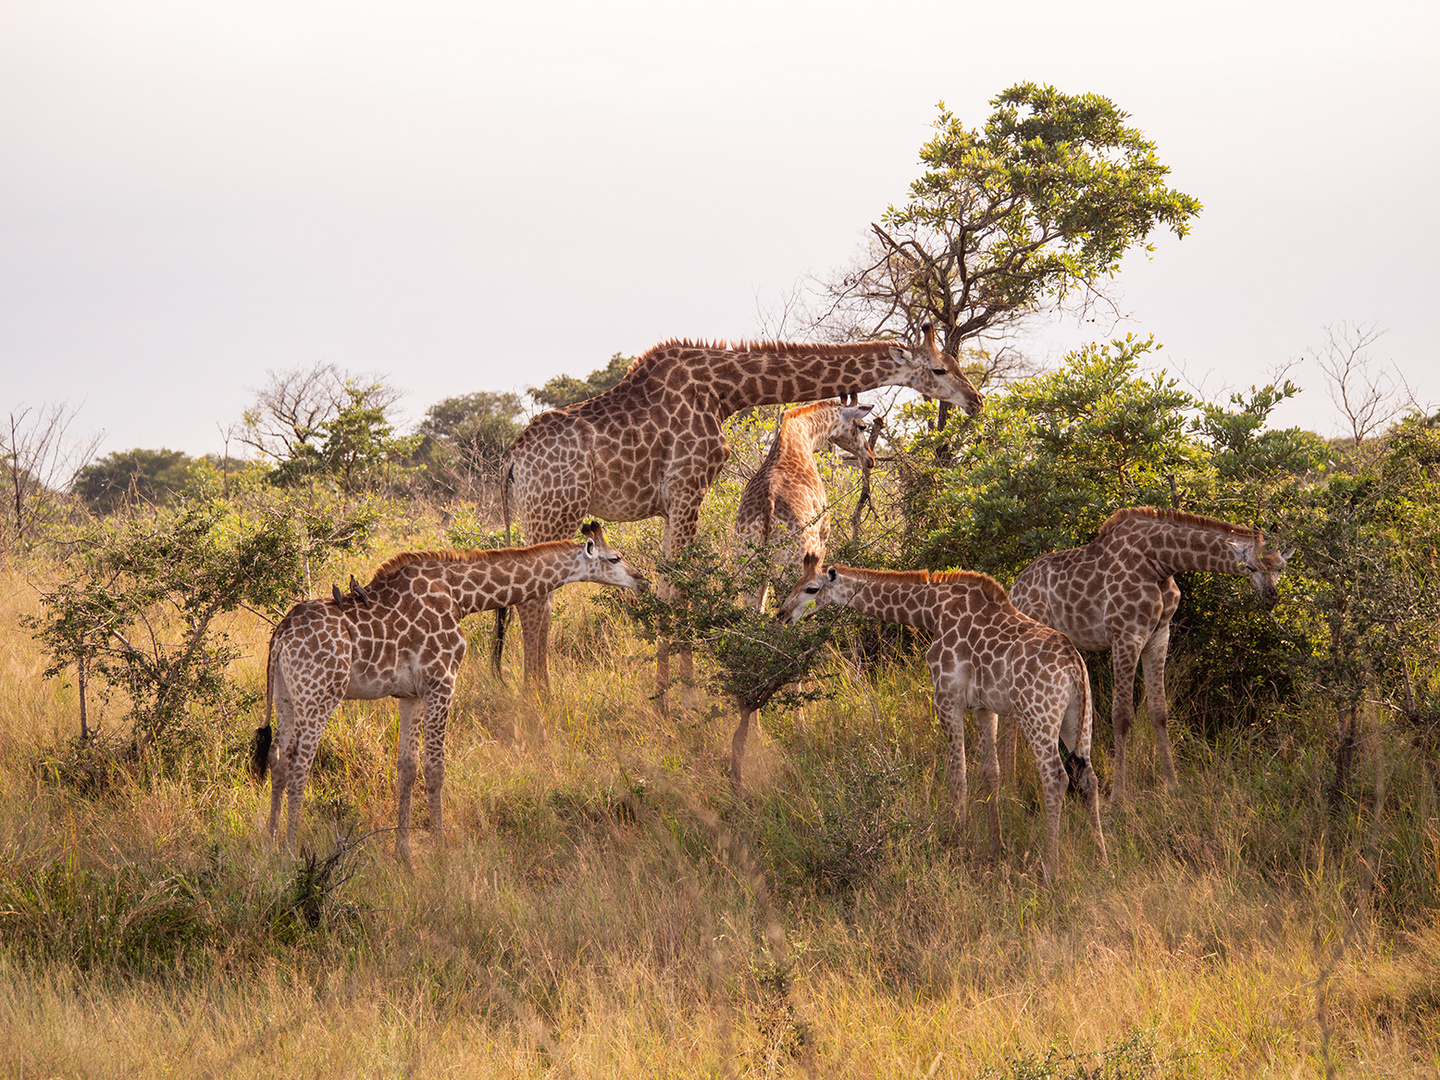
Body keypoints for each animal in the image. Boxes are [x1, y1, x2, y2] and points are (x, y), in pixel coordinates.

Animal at [254, 521, 648, 869]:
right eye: (614, 558)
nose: (642, 579)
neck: (461, 595)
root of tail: (281, 633)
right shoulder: (442, 681)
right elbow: (436, 768)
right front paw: (441, 848)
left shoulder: (411, 694)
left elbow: (407, 767)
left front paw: (404, 852)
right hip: (320, 694)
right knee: (300, 763)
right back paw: (290, 849)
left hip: (287, 696)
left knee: (277, 757)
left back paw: (271, 843)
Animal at [737, 400, 869, 616]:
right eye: (862, 426)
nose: (870, 458)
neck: (803, 436)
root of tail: (768, 510)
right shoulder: (824, 532)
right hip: (794, 563)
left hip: (747, 562)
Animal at [777, 552, 1100, 881]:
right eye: (796, 582)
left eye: (812, 589)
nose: (782, 614)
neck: (932, 612)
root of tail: (1074, 665)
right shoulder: (984, 708)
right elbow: (990, 774)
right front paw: (996, 846)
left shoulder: (947, 699)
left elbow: (958, 777)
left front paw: (957, 845)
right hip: (1078, 719)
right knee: (1089, 776)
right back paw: (1103, 859)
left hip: (1039, 716)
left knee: (1056, 778)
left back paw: (1050, 868)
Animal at [1002, 506, 1296, 806]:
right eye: (1251, 567)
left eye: (1281, 568)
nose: (1271, 598)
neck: (1161, 562)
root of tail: (1014, 589)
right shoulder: (1126, 636)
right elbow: (1121, 715)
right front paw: (1118, 796)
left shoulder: (1159, 637)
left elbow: (1159, 711)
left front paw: (1173, 784)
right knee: (1012, 713)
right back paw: (1011, 791)